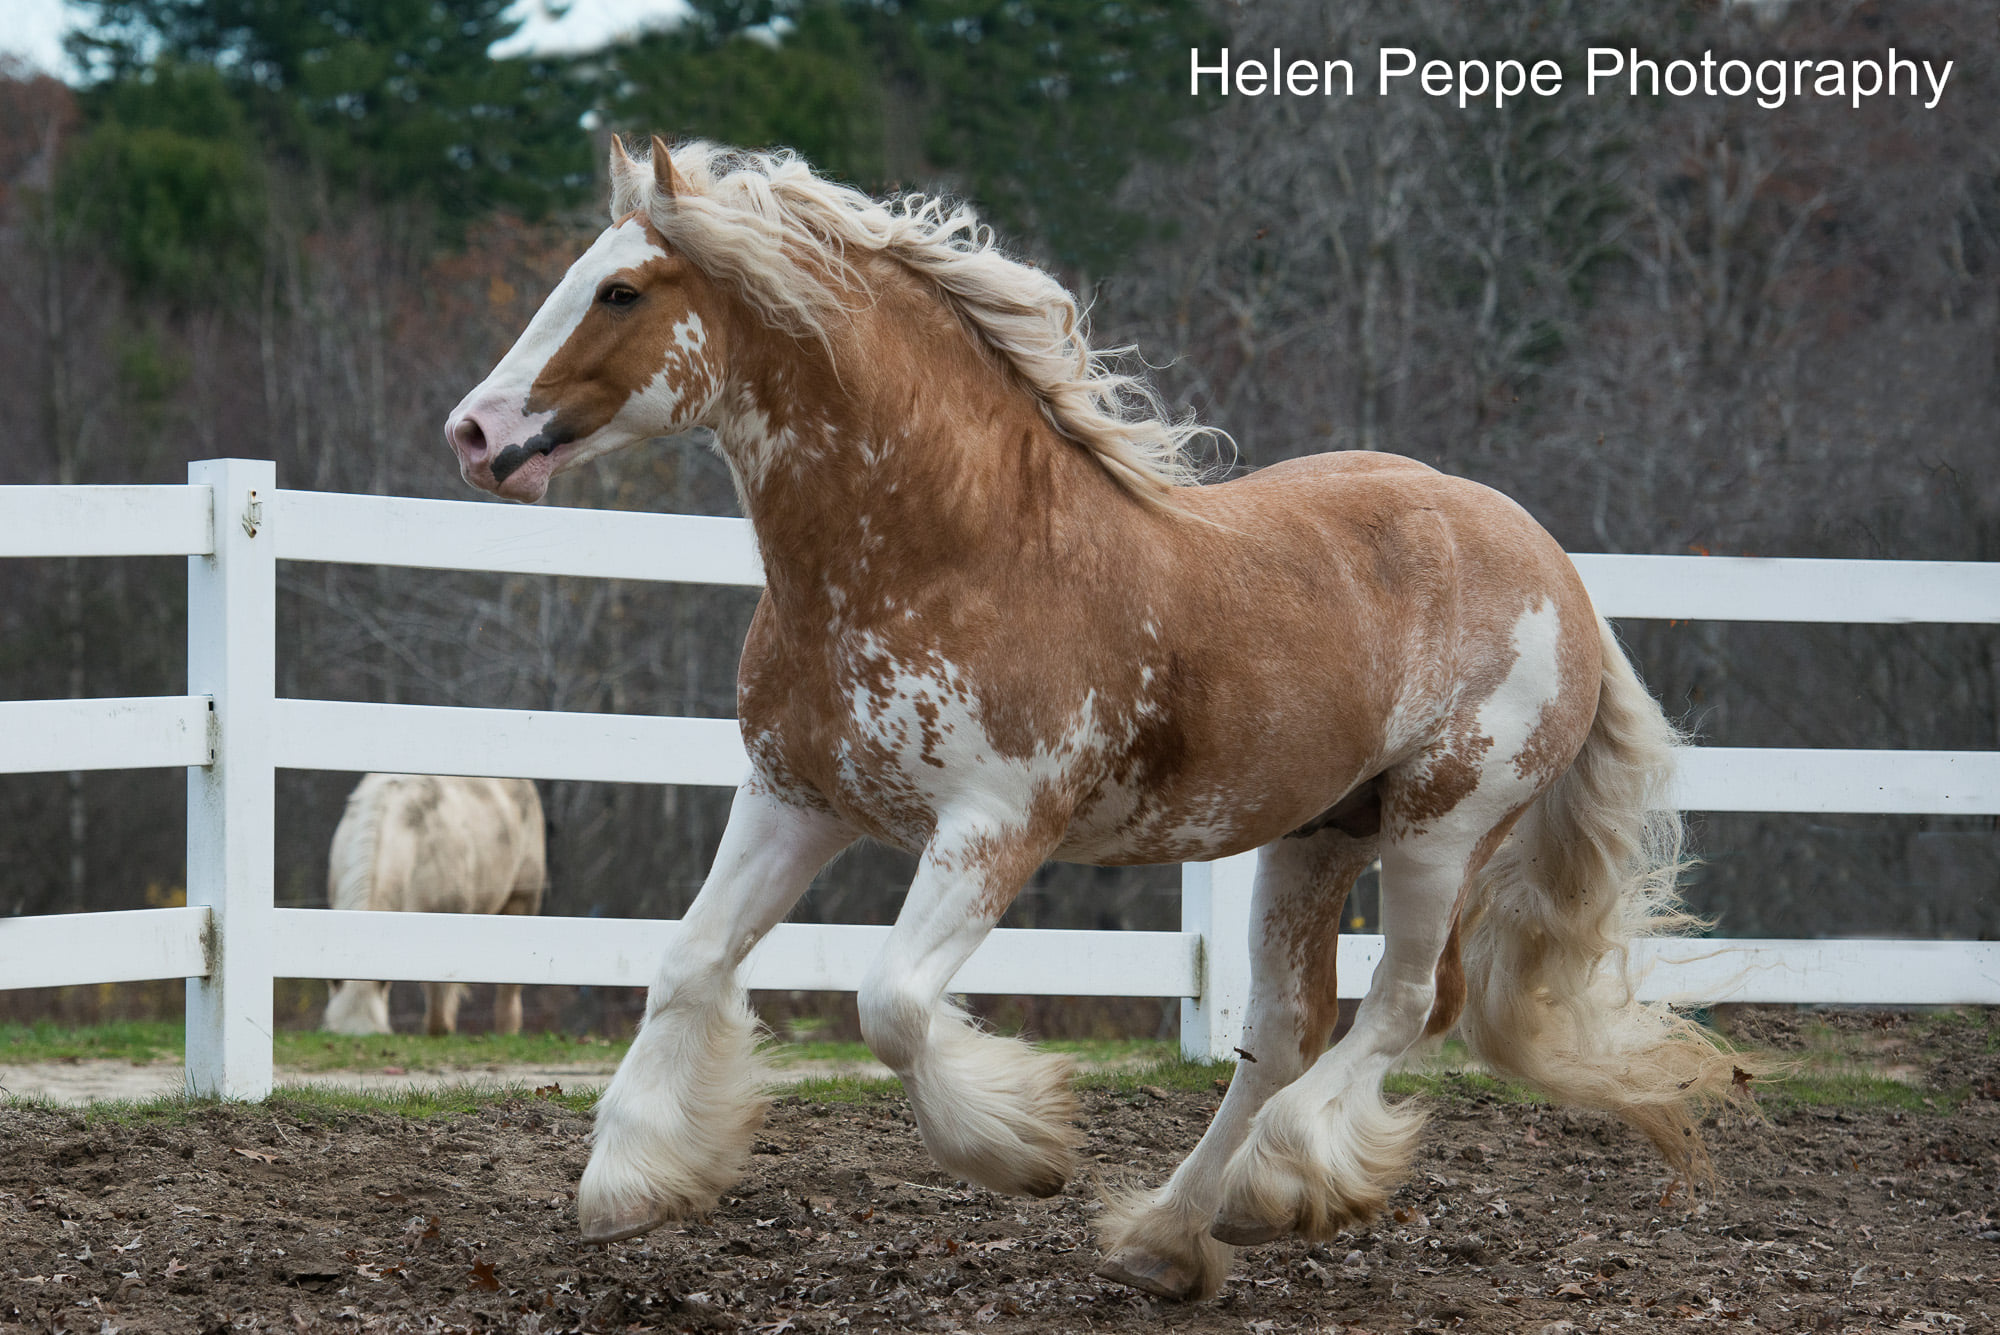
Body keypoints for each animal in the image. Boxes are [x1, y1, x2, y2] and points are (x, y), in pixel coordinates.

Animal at [442, 137, 1752, 1303]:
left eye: (620, 288)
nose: (475, 432)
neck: (939, 553)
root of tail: (1558, 569)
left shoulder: (992, 825)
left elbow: (892, 1005)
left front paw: (1023, 1147)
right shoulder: (792, 800)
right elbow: (686, 961)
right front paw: (631, 1182)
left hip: (1443, 824)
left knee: (1402, 1005)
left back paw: (1277, 1185)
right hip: (1317, 834)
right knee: (1284, 1029)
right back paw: (1170, 1239)